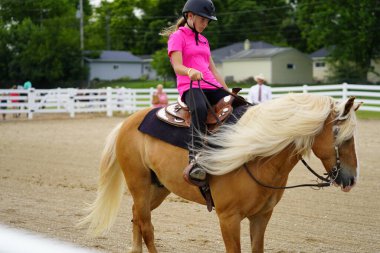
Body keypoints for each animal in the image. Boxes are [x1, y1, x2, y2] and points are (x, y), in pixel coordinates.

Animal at [79, 93, 360, 253]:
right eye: (339, 134)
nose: (351, 179)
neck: (258, 154)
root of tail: (127, 122)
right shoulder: (228, 218)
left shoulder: (261, 216)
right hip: (138, 184)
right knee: (147, 226)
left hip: (157, 189)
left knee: (137, 217)